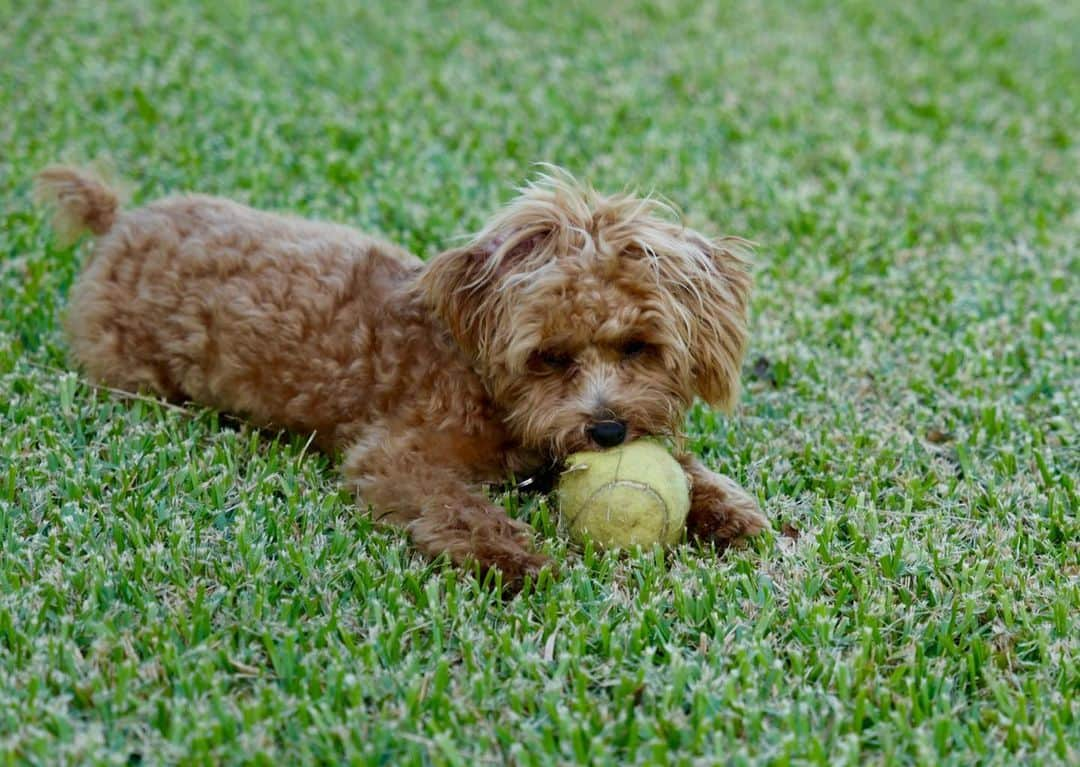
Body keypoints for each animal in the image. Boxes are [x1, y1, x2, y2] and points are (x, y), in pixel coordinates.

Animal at [33, 166, 768, 587]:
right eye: (550, 357)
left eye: (639, 347)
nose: (609, 431)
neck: (475, 372)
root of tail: (118, 221)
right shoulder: (397, 454)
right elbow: (455, 505)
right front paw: (516, 558)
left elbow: (685, 468)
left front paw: (726, 509)